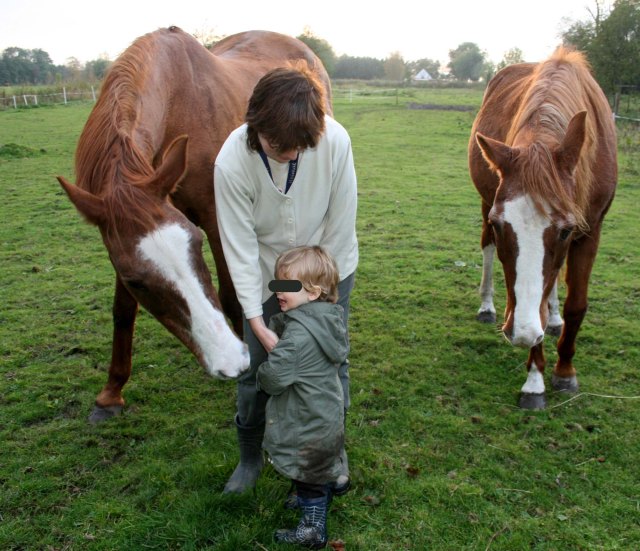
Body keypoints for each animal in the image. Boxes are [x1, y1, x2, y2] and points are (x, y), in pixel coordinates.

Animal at [57, 27, 332, 422]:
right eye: (135, 281)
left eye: (195, 244)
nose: (230, 360)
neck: (178, 103)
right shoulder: (120, 240)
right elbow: (123, 310)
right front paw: (111, 392)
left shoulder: (217, 218)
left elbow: (231, 297)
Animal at [468, 47, 617, 409]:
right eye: (499, 225)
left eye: (564, 231)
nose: (518, 332)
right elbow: (530, 299)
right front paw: (534, 381)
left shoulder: (590, 229)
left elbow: (575, 302)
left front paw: (565, 371)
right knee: (487, 252)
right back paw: (487, 306)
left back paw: (553, 318)